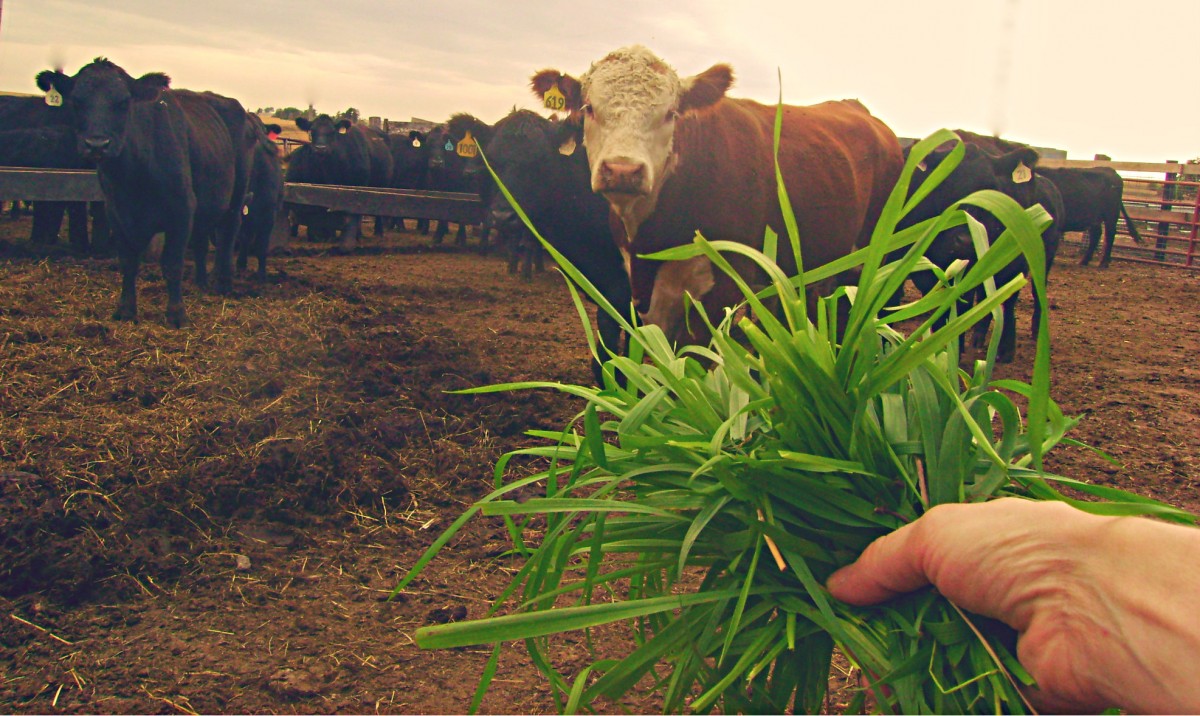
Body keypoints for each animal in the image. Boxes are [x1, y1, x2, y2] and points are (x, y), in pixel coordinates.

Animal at [37, 58, 250, 326]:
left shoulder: (181, 210)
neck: (133, 178)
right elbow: (128, 262)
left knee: (227, 236)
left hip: (235, 197)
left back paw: (223, 283)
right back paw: (200, 282)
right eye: (76, 101)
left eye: (123, 102)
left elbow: (172, 263)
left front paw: (177, 314)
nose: (97, 145)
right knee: (202, 239)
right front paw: (125, 309)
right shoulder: (116, 212)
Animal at [288, 114, 391, 251]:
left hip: (382, 184)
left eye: (332, 132)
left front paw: (355, 236)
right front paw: (330, 235)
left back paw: (378, 233)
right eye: (312, 131)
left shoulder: (359, 187)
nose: (320, 148)